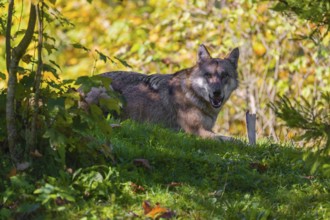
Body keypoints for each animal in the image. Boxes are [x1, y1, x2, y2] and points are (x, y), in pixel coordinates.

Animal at [81, 45, 238, 140]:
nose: (216, 92)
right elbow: (231, 139)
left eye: (224, 75)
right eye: (208, 75)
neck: (192, 94)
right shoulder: (196, 131)